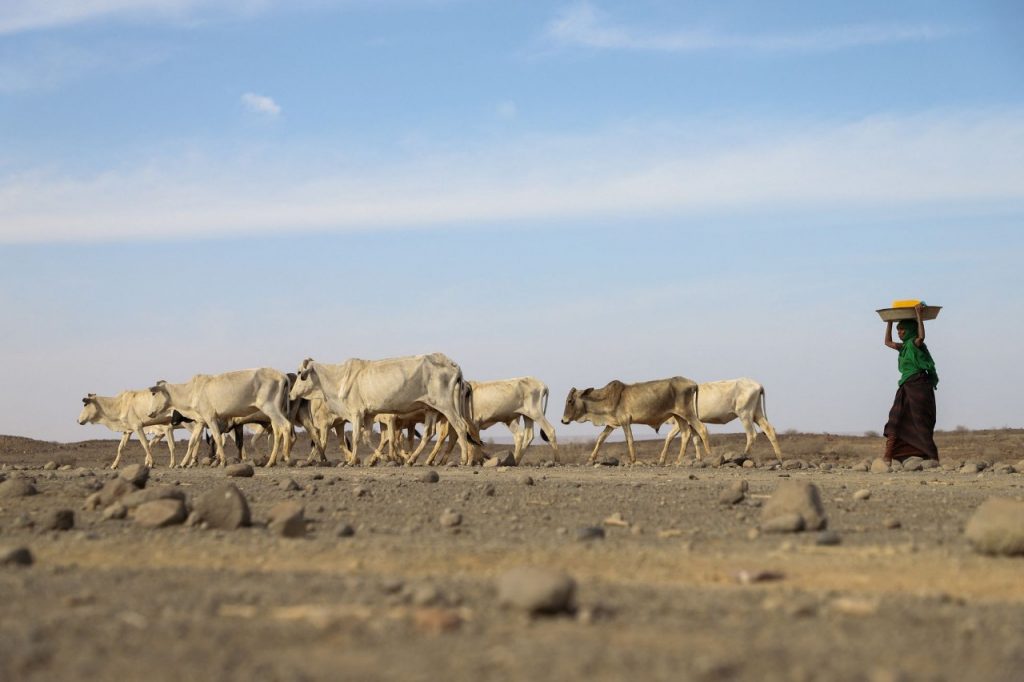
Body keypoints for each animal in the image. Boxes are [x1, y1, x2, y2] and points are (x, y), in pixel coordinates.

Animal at [147, 366, 296, 466]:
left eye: (154, 394)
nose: (149, 413)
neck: (191, 391)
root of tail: (283, 376)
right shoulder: (201, 421)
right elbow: (192, 442)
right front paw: (183, 463)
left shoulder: (211, 418)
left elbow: (218, 439)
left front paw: (223, 461)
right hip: (275, 411)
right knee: (278, 431)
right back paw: (272, 461)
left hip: (270, 408)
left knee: (286, 426)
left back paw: (285, 456)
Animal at [286, 352, 481, 464]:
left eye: (299, 373)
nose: (290, 395)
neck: (338, 378)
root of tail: (453, 364)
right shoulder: (369, 415)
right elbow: (368, 438)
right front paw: (383, 457)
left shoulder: (356, 413)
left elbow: (356, 437)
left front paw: (353, 460)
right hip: (431, 409)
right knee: (429, 433)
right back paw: (412, 459)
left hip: (446, 406)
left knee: (460, 427)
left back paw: (464, 459)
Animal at [561, 374, 712, 464]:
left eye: (570, 401)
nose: (563, 420)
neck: (607, 398)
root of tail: (693, 383)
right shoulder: (612, 423)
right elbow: (600, 439)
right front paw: (591, 458)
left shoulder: (624, 421)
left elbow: (629, 439)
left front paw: (633, 460)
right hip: (679, 416)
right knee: (686, 434)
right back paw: (678, 460)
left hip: (688, 413)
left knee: (702, 429)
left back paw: (710, 455)